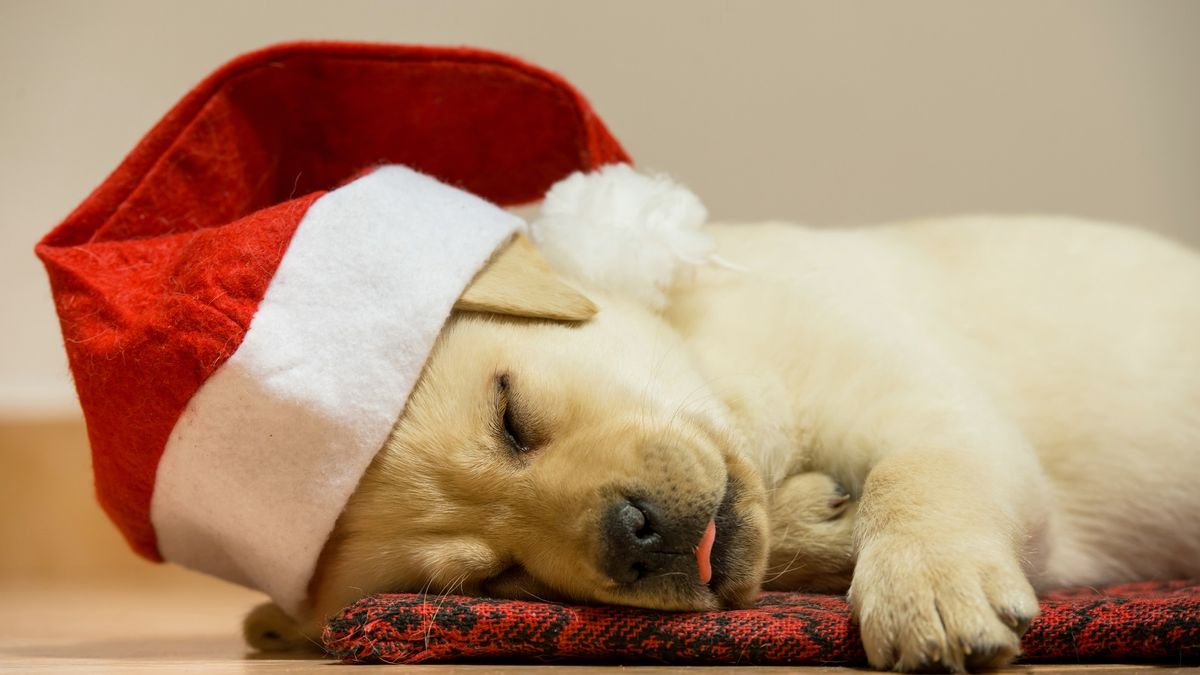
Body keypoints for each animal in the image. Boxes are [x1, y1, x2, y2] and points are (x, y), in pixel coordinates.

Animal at [248, 212, 1195, 667]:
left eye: (512, 417)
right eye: (494, 579)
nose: (632, 539)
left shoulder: (925, 405)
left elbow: (916, 475)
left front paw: (926, 584)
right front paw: (823, 527)